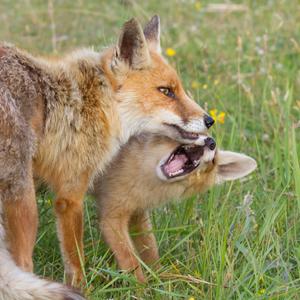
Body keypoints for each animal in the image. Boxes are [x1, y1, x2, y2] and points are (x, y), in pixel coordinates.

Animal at [0, 14, 213, 296]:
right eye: (166, 91)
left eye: (179, 89)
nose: (209, 120)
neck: (96, 101)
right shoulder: (70, 197)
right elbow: (76, 261)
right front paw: (84, 290)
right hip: (24, 202)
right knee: (23, 264)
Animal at [92, 135, 256, 282]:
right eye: (200, 135)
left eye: (214, 160)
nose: (211, 142)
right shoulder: (111, 218)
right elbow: (130, 260)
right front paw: (141, 288)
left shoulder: (137, 214)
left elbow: (150, 248)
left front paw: (159, 278)